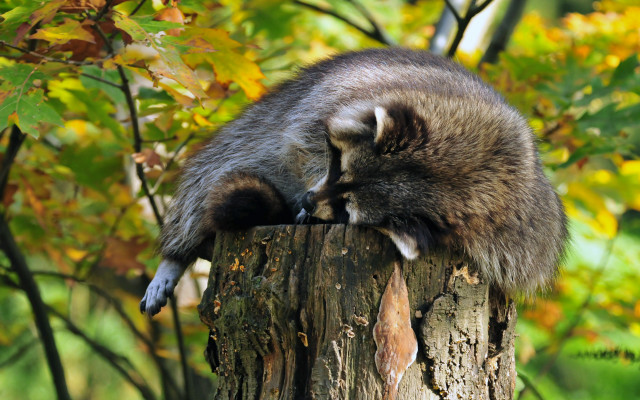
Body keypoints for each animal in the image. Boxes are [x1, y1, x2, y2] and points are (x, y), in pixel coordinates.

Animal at [140, 48, 568, 316]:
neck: (470, 169)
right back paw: (176, 255)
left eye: (348, 209)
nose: (308, 202)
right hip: (254, 126)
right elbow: (300, 138)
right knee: (212, 176)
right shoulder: (342, 95)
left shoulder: (518, 235)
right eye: (337, 165)